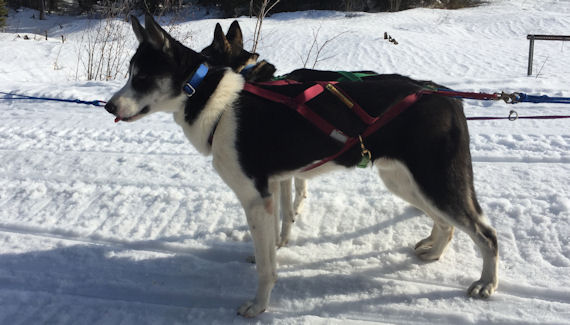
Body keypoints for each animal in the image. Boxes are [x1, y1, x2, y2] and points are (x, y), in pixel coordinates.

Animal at [105, 15, 496, 316]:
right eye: (128, 74)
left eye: (141, 78)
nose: (109, 106)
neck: (214, 100)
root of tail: (445, 96)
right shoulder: (275, 187)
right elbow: (280, 229)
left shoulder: (257, 198)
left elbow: (267, 264)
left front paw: (259, 306)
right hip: (405, 182)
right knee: (447, 224)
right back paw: (435, 251)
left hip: (434, 183)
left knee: (485, 234)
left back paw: (486, 283)